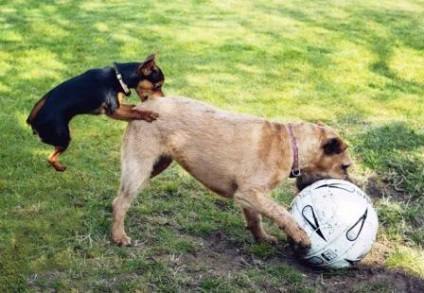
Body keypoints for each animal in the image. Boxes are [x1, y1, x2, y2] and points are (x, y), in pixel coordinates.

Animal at [26, 52, 165, 171]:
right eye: (158, 86)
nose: (164, 97)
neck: (119, 78)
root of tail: (33, 124)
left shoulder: (119, 106)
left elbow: (134, 107)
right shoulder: (114, 111)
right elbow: (136, 112)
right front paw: (148, 114)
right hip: (64, 137)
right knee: (50, 158)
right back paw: (60, 167)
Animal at [112, 96, 352, 249]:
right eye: (345, 167)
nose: (351, 185)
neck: (291, 145)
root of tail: (141, 107)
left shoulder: (251, 198)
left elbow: (256, 220)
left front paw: (263, 238)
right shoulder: (250, 193)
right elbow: (281, 213)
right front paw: (299, 234)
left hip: (155, 166)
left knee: (119, 197)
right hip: (140, 169)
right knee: (121, 202)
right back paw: (119, 236)